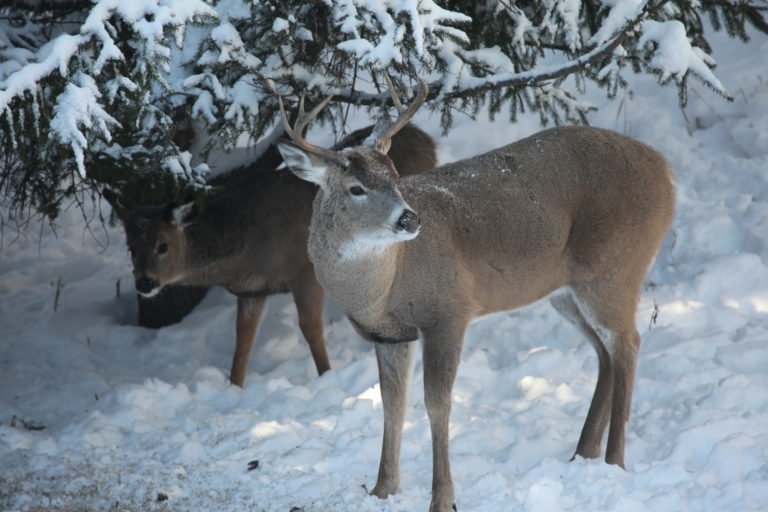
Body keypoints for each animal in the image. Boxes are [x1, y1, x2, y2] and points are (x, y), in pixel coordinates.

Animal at [107, 122, 436, 387]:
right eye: (131, 248)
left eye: (163, 245)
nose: (144, 283)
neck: (246, 243)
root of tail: (427, 137)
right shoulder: (252, 291)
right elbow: (243, 340)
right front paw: (235, 387)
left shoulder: (304, 272)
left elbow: (310, 329)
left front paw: (326, 375)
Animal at [276, 78, 676, 512]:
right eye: (356, 188)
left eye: (396, 176)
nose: (410, 218)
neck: (383, 288)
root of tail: (665, 171)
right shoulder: (389, 335)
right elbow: (392, 405)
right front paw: (383, 490)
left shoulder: (448, 312)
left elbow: (437, 404)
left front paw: (442, 499)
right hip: (566, 292)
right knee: (606, 353)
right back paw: (582, 453)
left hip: (615, 268)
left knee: (628, 343)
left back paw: (614, 460)